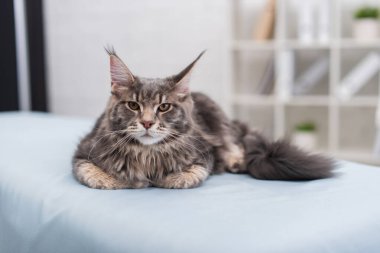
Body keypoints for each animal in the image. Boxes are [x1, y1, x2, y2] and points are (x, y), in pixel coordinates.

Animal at [72, 48, 334, 189]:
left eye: (164, 107)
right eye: (133, 105)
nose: (147, 123)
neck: (147, 155)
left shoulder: (205, 153)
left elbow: (192, 174)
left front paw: (166, 179)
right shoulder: (83, 149)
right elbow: (89, 171)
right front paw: (118, 180)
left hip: (219, 121)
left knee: (236, 144)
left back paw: (236, 161)